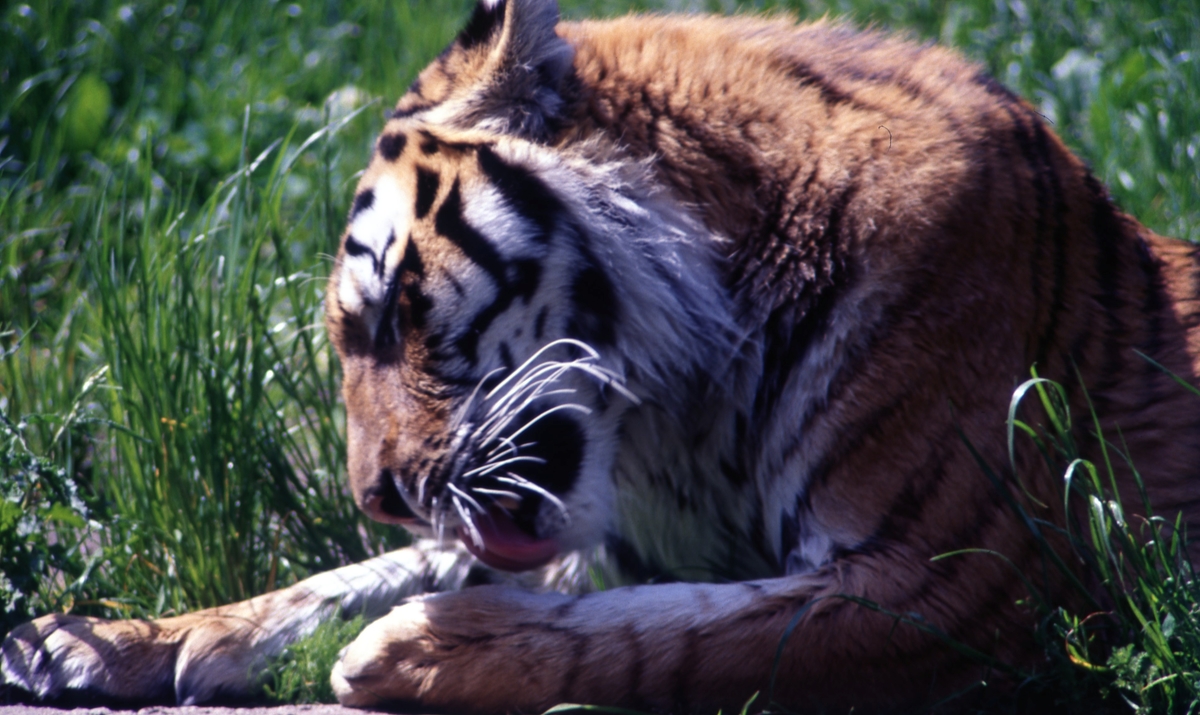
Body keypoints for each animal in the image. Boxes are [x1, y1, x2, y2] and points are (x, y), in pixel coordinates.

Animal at [5, 0, 1200, 712]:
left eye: (400, 311)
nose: (376, 495)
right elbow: (347, 576)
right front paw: (96, 641)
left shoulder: (943, 582)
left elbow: (674, 637)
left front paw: (420, 651)